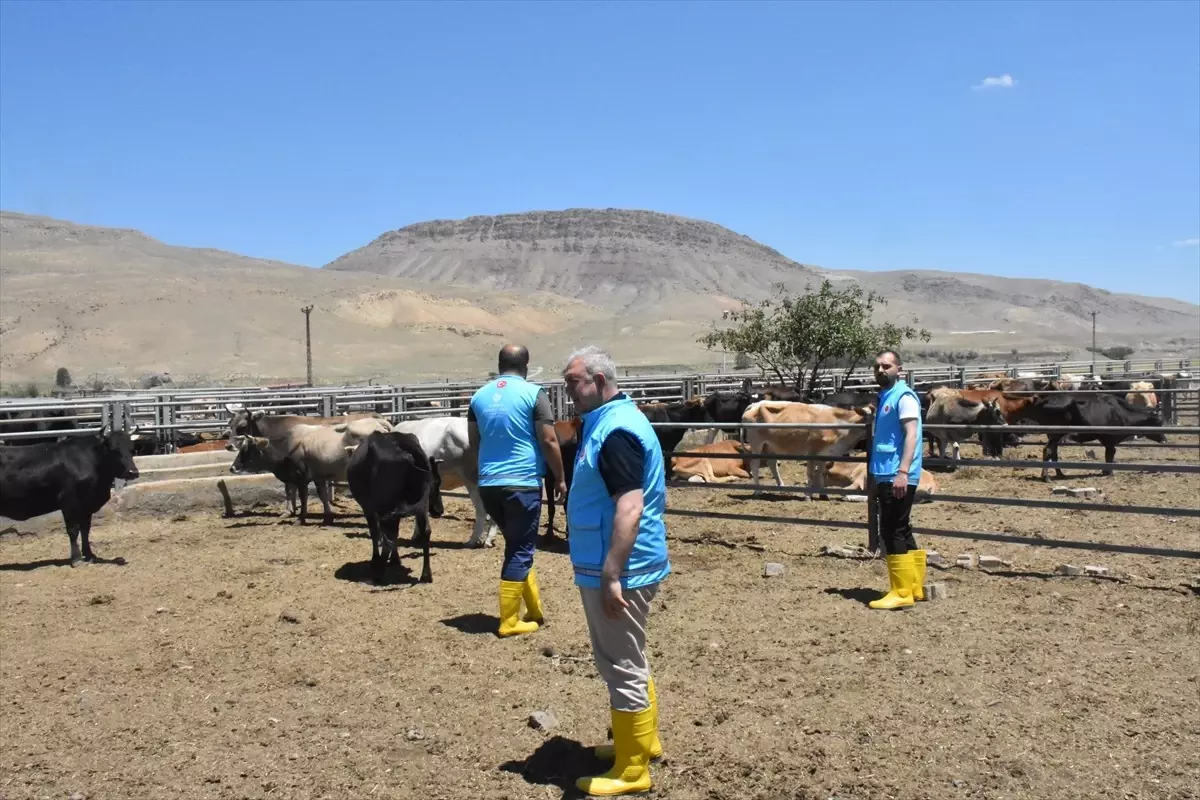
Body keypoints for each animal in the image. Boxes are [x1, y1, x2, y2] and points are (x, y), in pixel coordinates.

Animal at [0, 429, 138, 566]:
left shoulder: (86, 505)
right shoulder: (69, 502)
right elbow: (73, 530)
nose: (133, 472)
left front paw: (89, 555)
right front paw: (76, 559)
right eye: (113, 450)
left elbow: (85, 529)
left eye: (132, 449)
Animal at [348, 434, 446, 585]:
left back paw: (379, 572)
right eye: (437, 482)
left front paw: (376, 560)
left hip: (386, 506)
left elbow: (375, 533)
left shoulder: (368, 508)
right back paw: (426, 575)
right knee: (425, 531)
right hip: (421, 505)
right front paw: (394, 559)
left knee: (387, 532)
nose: (439, 510)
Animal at [1022, 393, 1161, 479]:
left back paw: (1059, 474)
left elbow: (1108, 455)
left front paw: (1106, 471)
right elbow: (1110, 455)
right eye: (1159, 423)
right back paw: (1047, 477)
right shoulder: (1110, 440)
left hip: (1053, 436)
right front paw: (1109, 472)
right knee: (1047, 450)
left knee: (1053, 453)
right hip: (1056, 435)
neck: (1121, 412)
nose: (1164, 438)